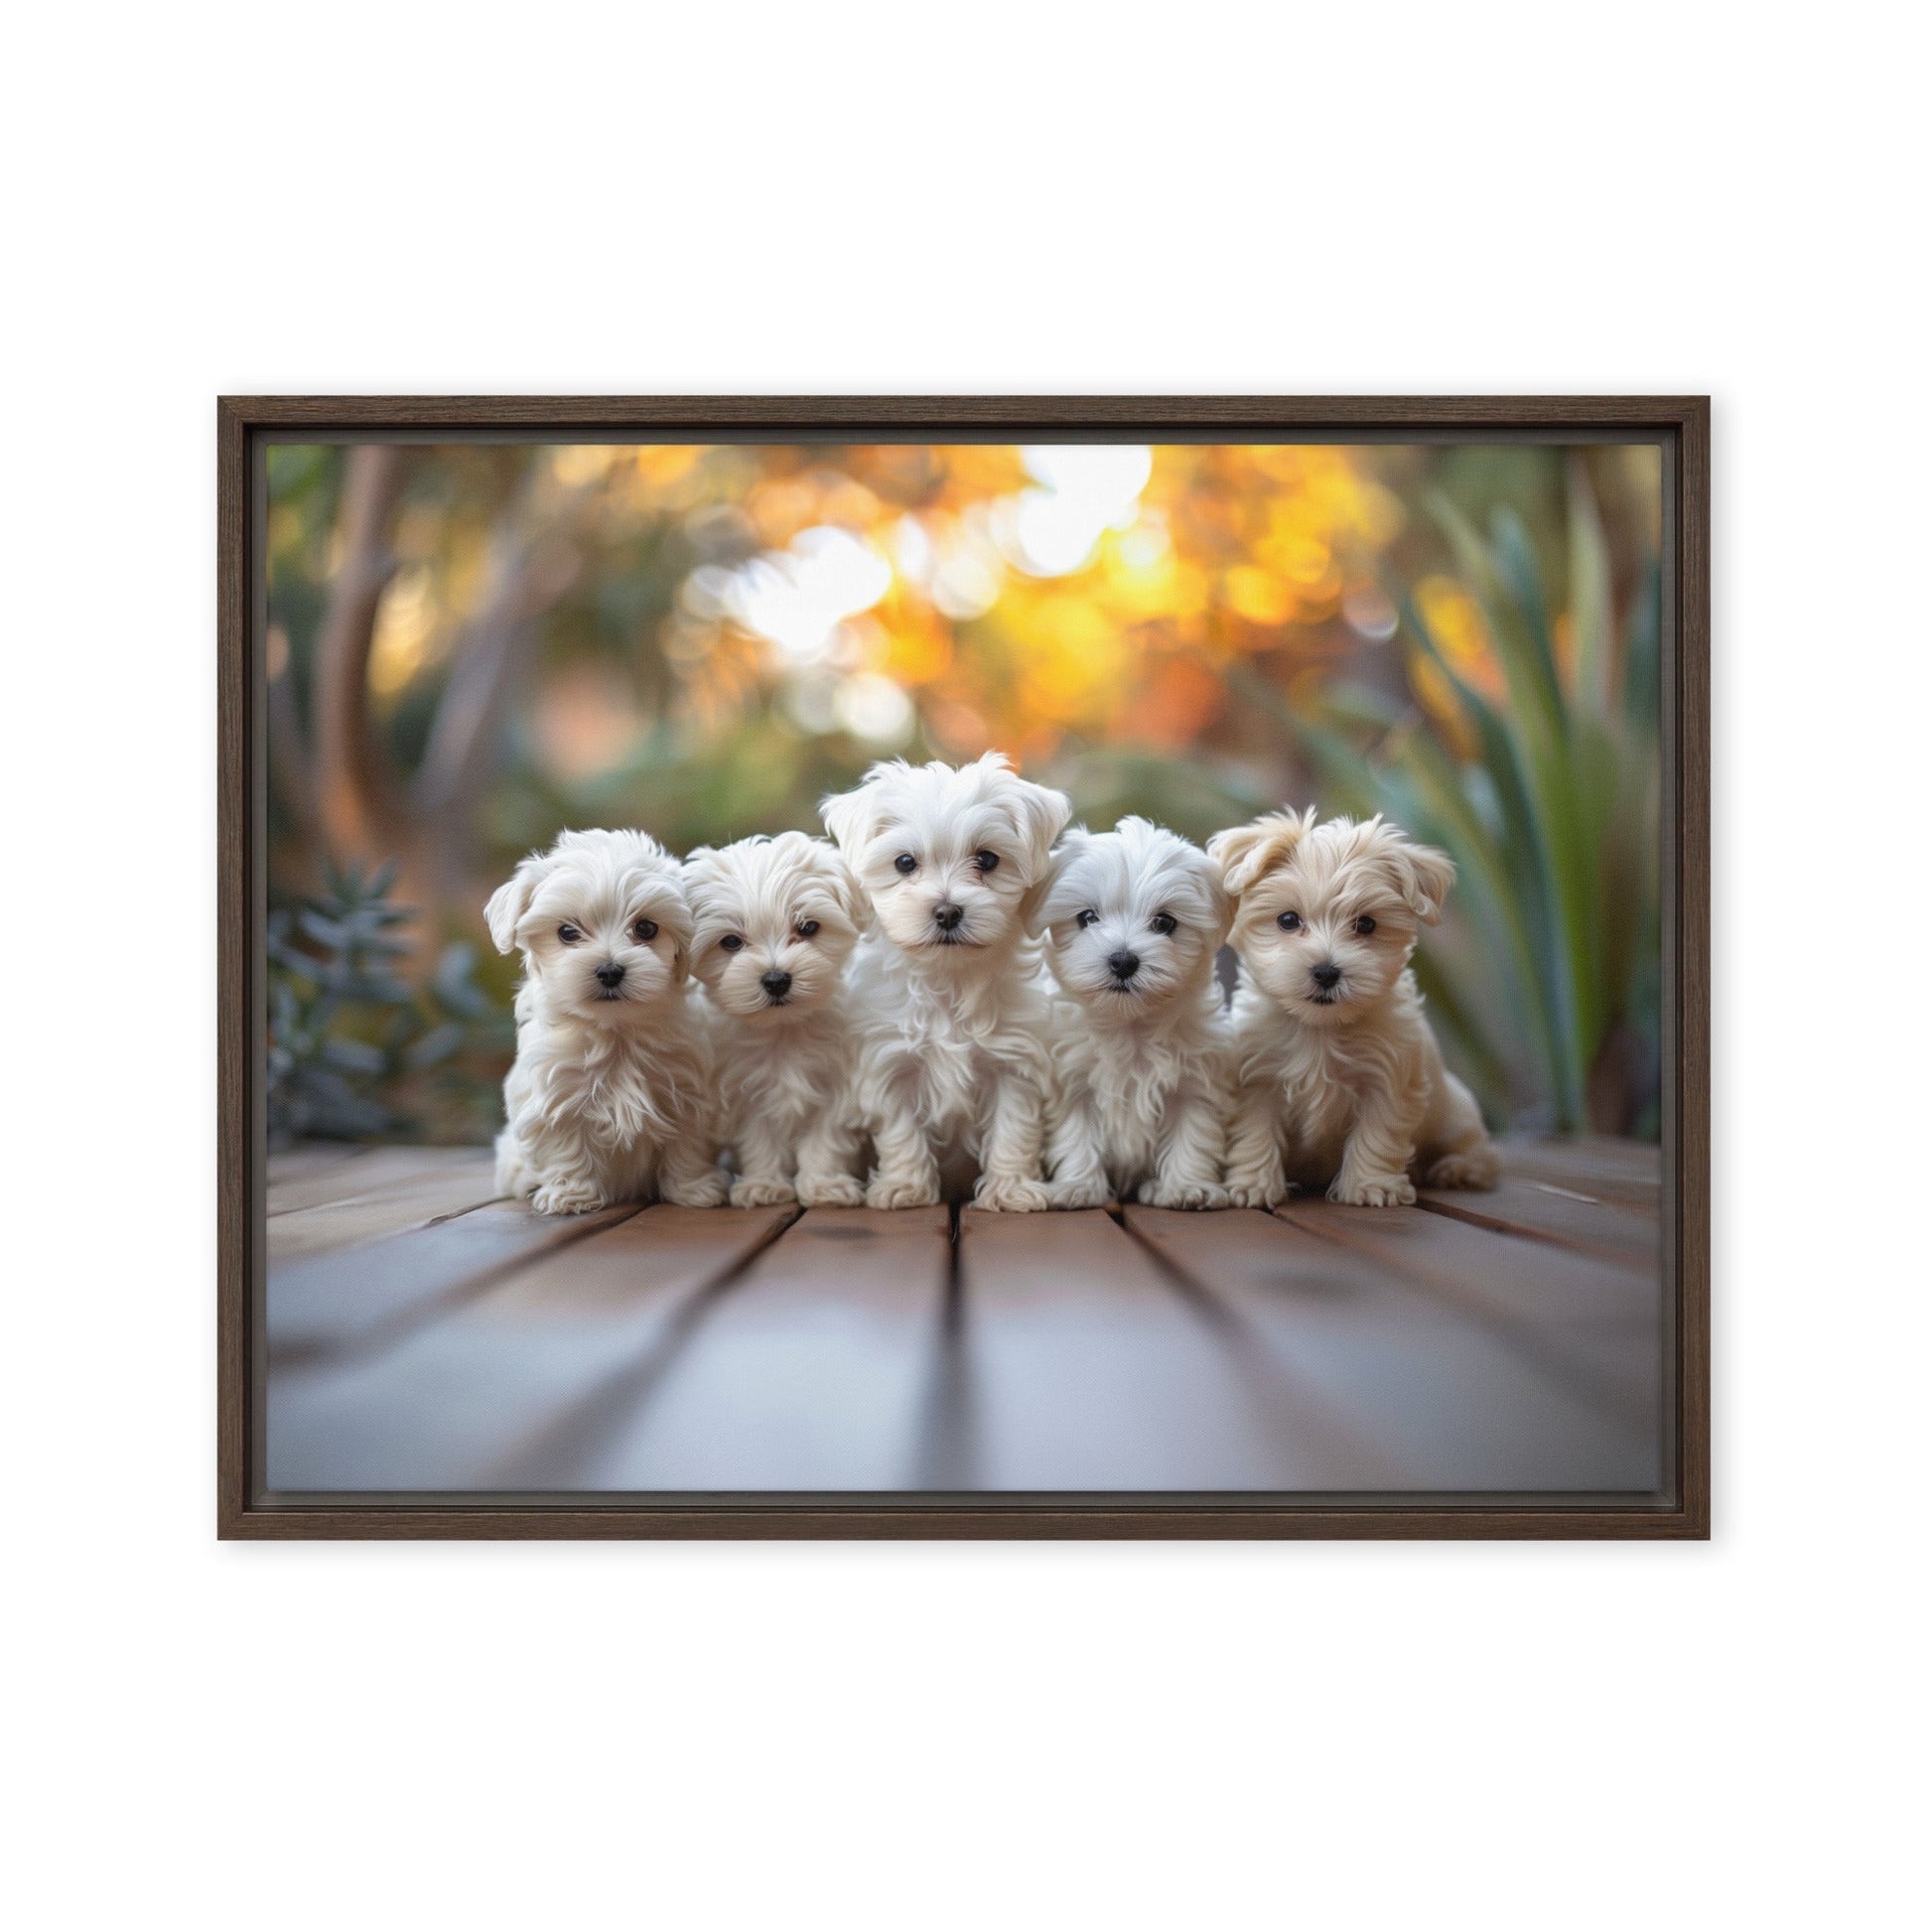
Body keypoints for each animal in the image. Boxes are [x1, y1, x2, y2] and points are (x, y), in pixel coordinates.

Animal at [483, 822, 726, 1213]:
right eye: (567, 932)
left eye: (646, 928)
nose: (610, 970)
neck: (616, 1030)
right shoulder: (556, 1096)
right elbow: (567, 1146)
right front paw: (571, 1194)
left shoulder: (688, 1092)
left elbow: (687, 1144)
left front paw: (693, 1189)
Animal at [676, 830, 865, 1205]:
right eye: (731, 942)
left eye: (808, 927)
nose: (776, 979)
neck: (784, 1030)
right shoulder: (747, 1092)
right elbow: (760, 1140)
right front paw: (764, 1185)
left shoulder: (835, 1088)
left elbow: (825, 1139)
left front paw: (824, 1185)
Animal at [815, 750, 1073, 1205]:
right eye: (904, 862)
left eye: (987, 859)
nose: (948, 911)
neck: (949, 979)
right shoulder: (891, 1063)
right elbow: (900, 1132)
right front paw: (905, 1186)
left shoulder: (1014, 1064)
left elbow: (1013, 1129)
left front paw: (1011, 1189)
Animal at [1042, 815, 1236, 1205]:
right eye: (1088, 917)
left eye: (1164, 922)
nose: (1122, 960)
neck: (1130, 1024)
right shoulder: (1073, 1082)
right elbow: (1077, 1133)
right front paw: (1077, 1186)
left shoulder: (1195, 1083)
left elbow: (1192, 1132)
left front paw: (1186, 1186)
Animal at [1213, 803, 1499, 1205]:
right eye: (1288, 920)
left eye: (1366, 924)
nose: (1326, 971)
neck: (1320, 1028)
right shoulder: (1257, 1079)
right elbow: (1254, 1133)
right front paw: (1252, 1184)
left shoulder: (1387, 1079)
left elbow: (1377, 1133)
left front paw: (1371, 1185)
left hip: (1454, 1114)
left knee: (1479, 1151)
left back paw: (1457, 1168)